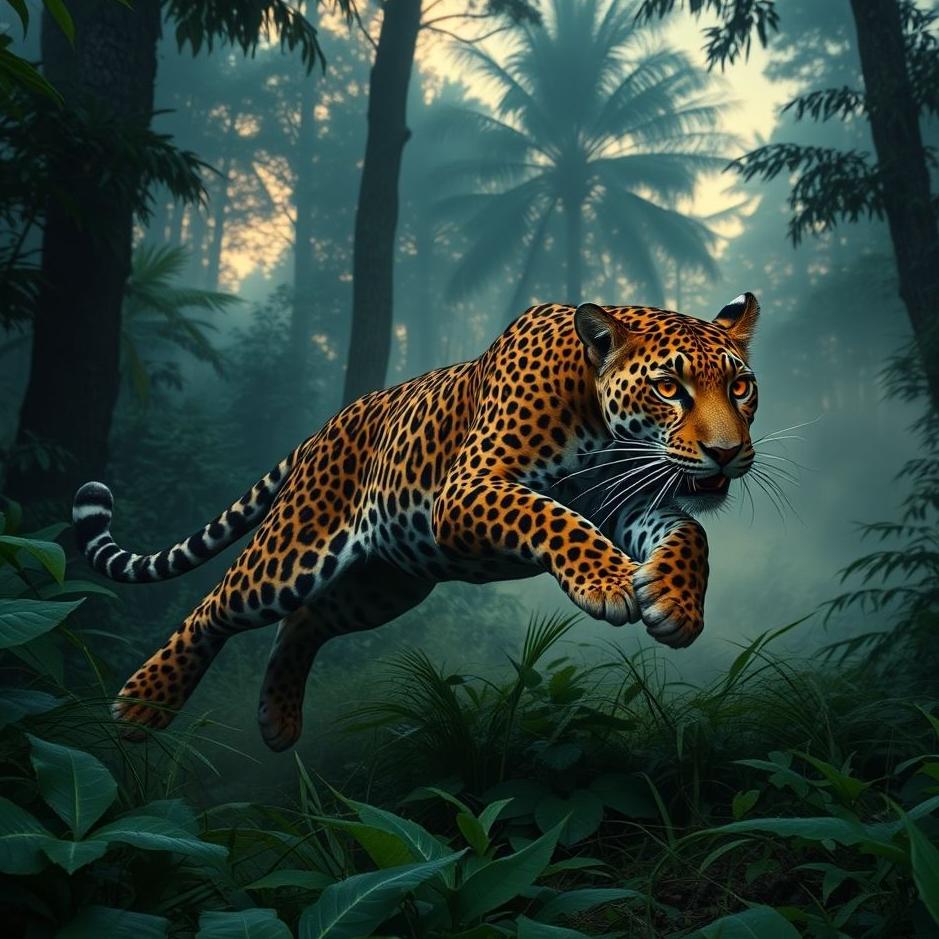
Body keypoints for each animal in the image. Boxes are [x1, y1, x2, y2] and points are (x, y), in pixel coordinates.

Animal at [73, 293, 760, 751]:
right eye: (669, 387)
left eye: (742, 388)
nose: (727, 453)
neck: (599, 419)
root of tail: (324, 429)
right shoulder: (466, 488)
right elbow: (551, 516)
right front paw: (611, 583)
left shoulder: (630, 504)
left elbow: (691, 533)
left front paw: (674, 602)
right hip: (294, 549)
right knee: (215, 605)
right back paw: (144, 702)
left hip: (386, 584)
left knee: (304, 621)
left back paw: (278, 720)